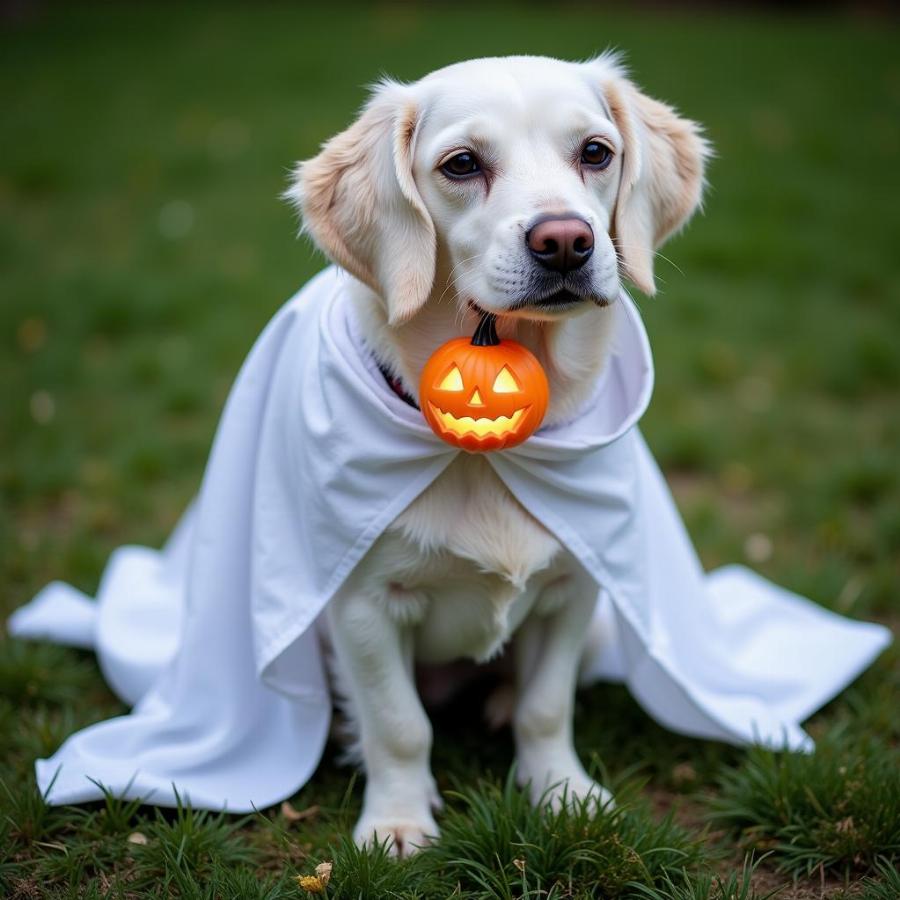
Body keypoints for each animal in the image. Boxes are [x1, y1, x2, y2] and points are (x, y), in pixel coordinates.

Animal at [288, 52, 712, 856]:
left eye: (596, 152)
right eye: (461, 164)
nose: (566, 241)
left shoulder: (575, 589)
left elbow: (546, 707)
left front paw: (563, 794)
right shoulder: (362, 607)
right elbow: (398, 724)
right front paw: (397, 822)